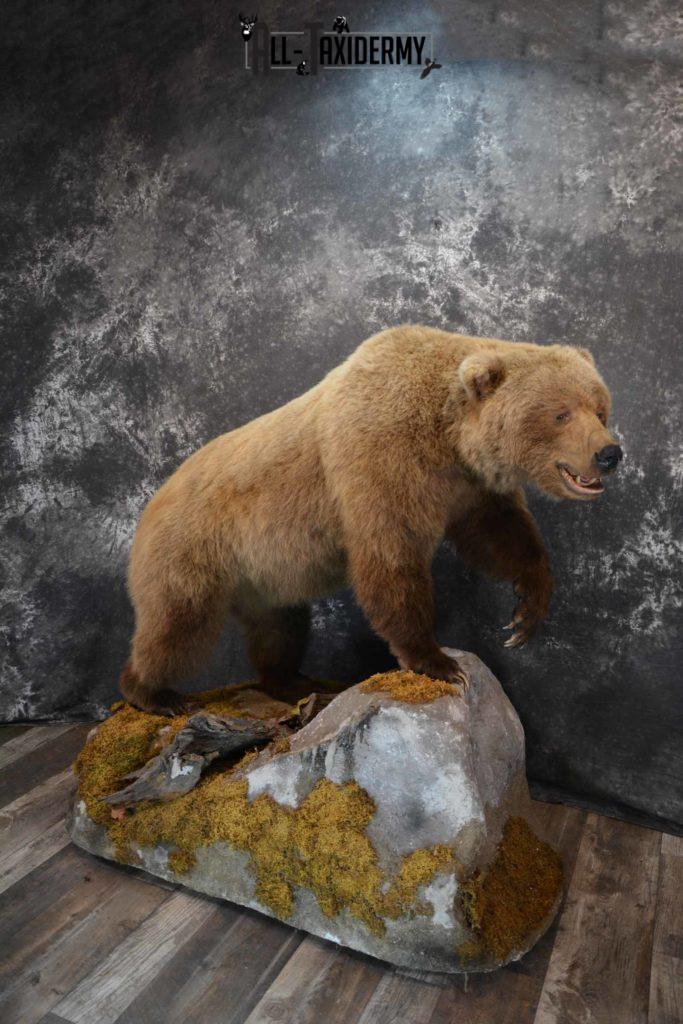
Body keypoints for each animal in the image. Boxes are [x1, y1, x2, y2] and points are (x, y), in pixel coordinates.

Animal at [119, 326, 623, 714]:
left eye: (599, 408)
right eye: (560, 413)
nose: (610, 452)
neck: (448, 437)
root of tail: (152, 502)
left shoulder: (469, 486)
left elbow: (502, 534)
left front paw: (525, 612)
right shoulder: (382, 460)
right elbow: (391, 559)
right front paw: (438, 661)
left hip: (264, 577)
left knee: (280, 628)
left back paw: (294, 681)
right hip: (194, 549)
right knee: (177, 626)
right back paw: (154, 693)